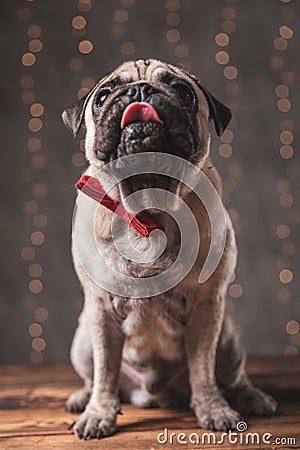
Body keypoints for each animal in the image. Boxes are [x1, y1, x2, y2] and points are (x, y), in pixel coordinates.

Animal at [62, 59, 278, 440]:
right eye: (102, 96)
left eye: (183, 92)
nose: (140, 90)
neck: (147, 203)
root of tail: (150, 394)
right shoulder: (101, 312)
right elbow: (105, 373)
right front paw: (98, 413)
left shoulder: (208, 308)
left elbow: (203, 370)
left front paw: (213, 409)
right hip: (84, 340)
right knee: (97, 375)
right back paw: (83, 398)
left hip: (229, 340)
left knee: (232, 378)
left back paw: (251, 398)